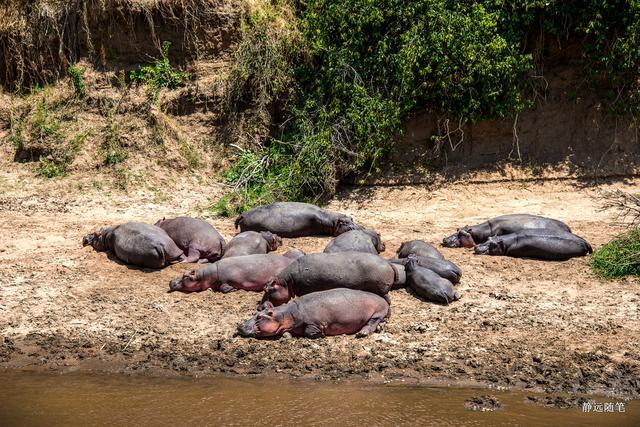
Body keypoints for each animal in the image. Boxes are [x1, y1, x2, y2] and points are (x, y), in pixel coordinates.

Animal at [166, 254, 294, 294]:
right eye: (183, 273)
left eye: (185, 276)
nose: (171, 281)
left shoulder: (227, 279)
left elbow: (223, 287)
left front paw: (233, 289)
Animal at [238, 290, 388, 340]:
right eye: (256, 313)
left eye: (259, 317)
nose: (239, 325)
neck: (287, 314)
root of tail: (384, 301)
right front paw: (287, 335)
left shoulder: (314, 322)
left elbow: (309, 331)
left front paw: (321, 334)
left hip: (377, 312)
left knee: (372, 322)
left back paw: (362, 333)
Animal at [258, 252, 400, 310]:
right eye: (264, 287)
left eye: (269, 289)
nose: (259, 307)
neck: (287, 281)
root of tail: (387, 263)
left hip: (382, 289)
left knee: (388, 300)